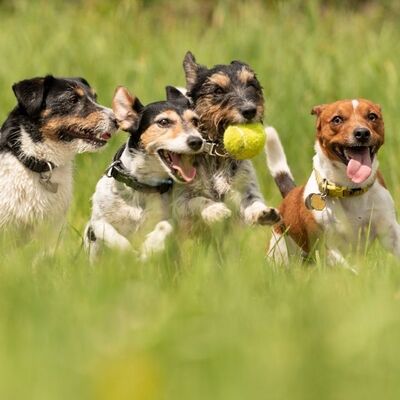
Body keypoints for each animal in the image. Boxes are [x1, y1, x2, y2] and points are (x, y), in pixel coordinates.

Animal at [83, 85, 203, 260]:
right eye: (164, 122)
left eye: (195, 121)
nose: (197, 141)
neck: (142, 185)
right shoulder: (96, 222)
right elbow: (107, 230)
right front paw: (127, 252)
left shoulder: (172, 217)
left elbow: (166, 225)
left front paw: (150, 246)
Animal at [173, 50, 282, 225]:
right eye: (218, 90)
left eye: (251, 85)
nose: (249, 110)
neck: (218, 155)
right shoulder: (179, 203)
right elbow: (198, 200)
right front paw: (214, 210)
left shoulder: (246, 187)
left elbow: (253, 201)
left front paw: (263, 212)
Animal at [266, 98, 400, 264]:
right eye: (337, 119)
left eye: (372, 116)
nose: (362, 133)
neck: (350, 189)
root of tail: (289, 194)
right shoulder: (326, 246)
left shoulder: (390, 230)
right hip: (280, 251)